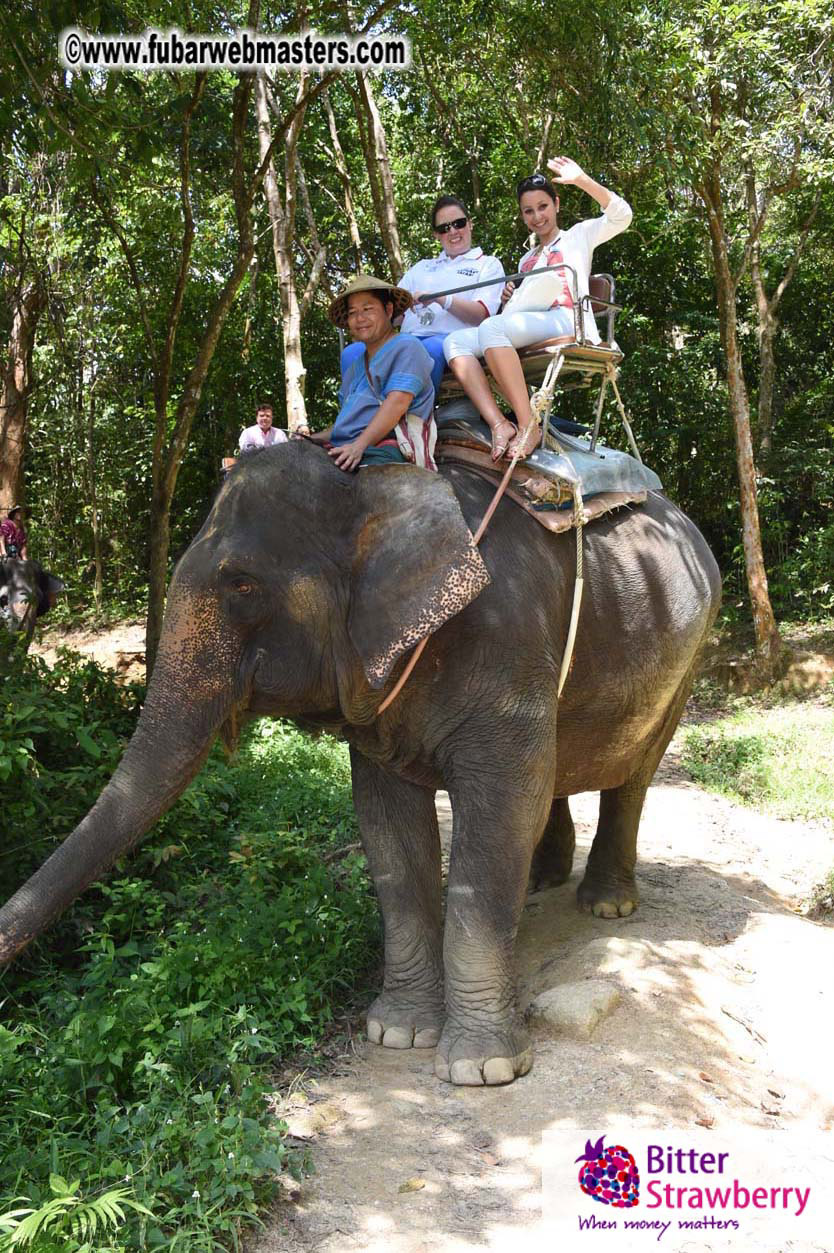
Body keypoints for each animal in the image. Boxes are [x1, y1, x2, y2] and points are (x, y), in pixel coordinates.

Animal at [0, 443, 721, 1085]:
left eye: (242, 584)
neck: (376, 487)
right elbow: (388, 824)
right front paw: (398, 1033)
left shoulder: (507, 645)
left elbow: (499, 810)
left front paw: (481, 1068)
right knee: (562, 767)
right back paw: (544, 878)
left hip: (690, 651)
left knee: (634, 774)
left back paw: (606, 905)